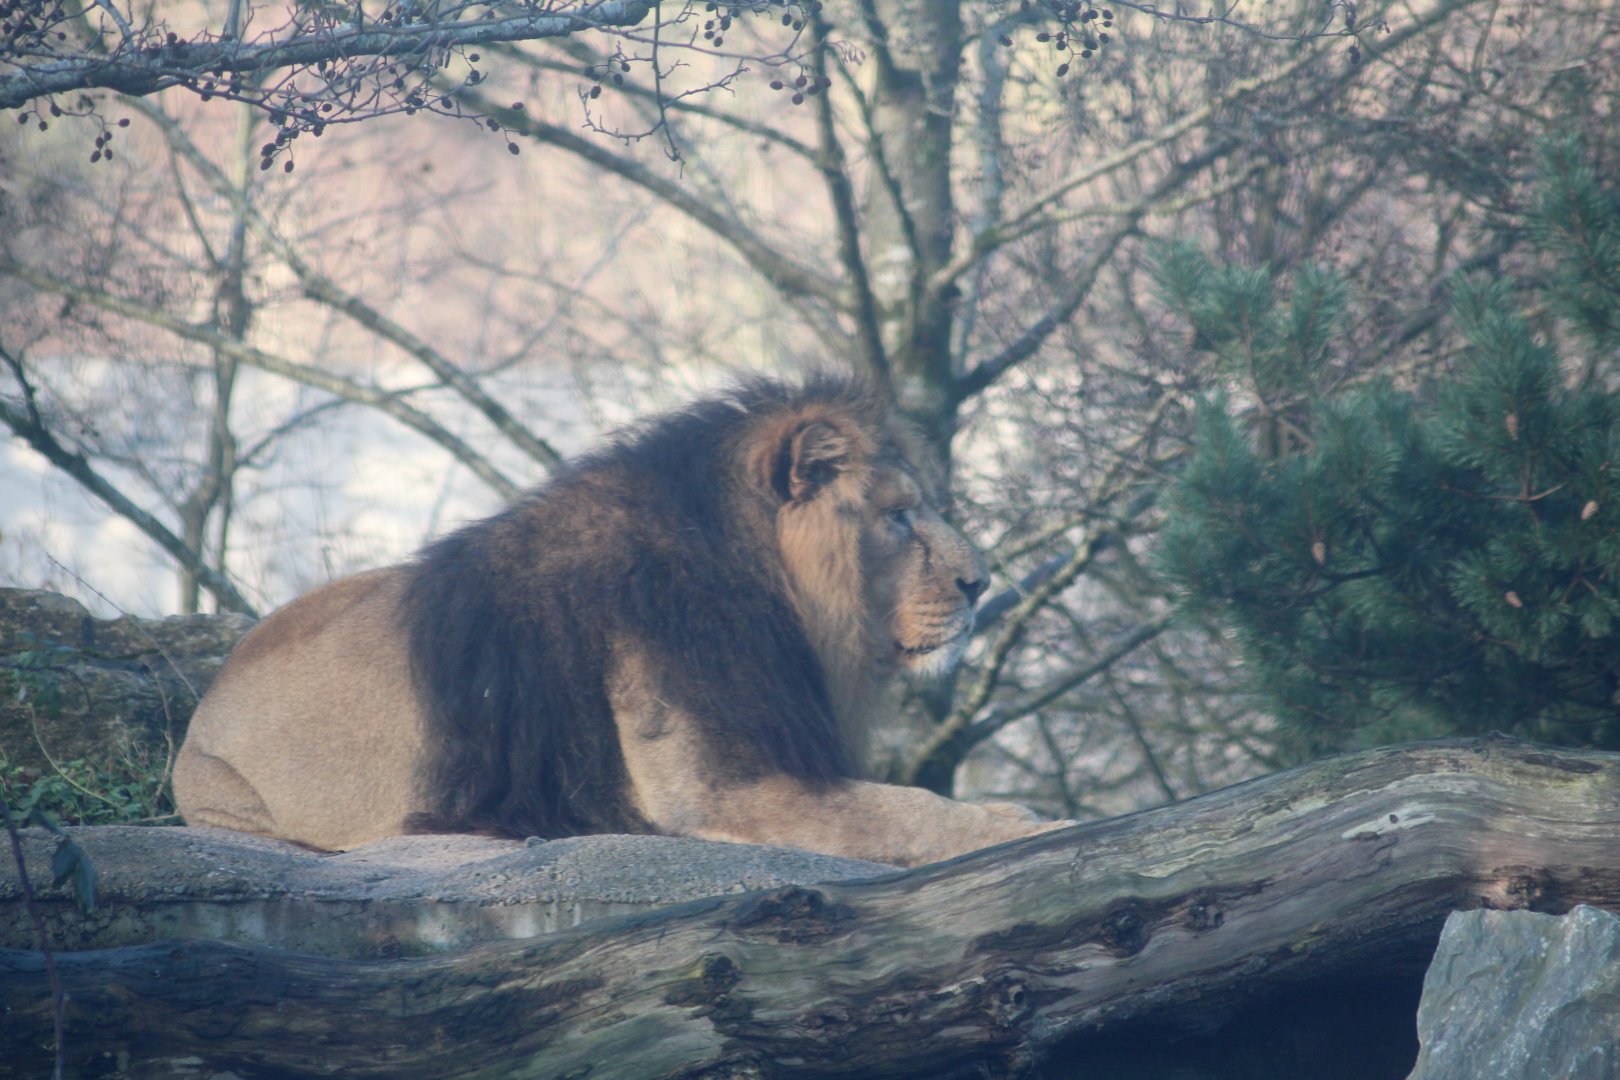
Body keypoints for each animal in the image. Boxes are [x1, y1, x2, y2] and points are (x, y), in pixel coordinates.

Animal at [173, 377, 1063, 866]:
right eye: (900, 516)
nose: (981, 582)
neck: (768, 588)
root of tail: (203, 707)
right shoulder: (716, 791)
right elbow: (903, 809)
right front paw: (1028, 822)